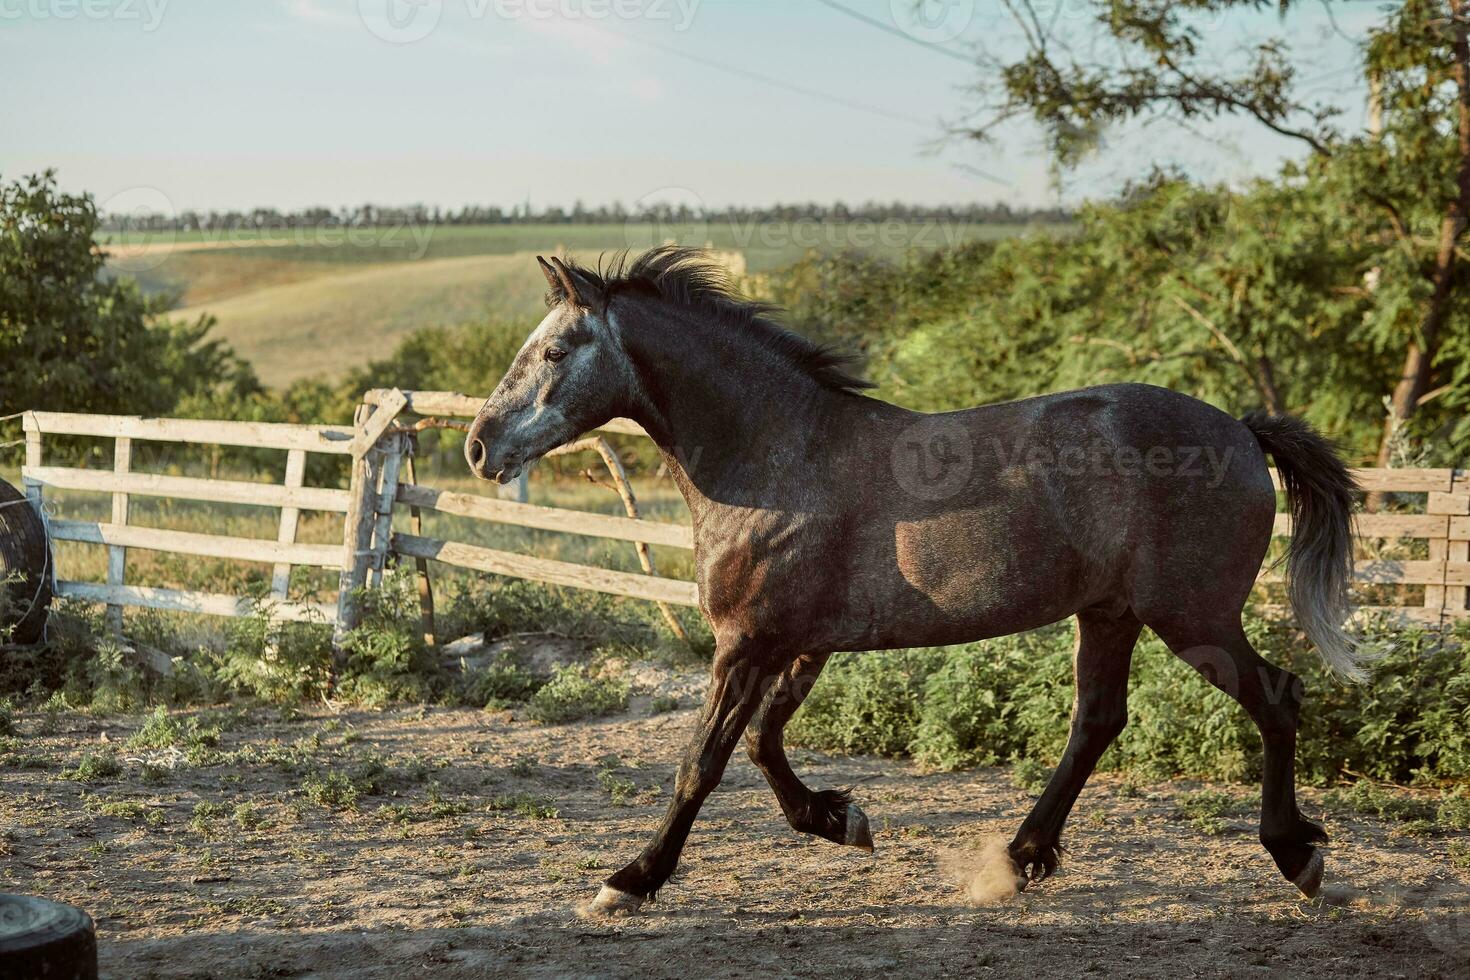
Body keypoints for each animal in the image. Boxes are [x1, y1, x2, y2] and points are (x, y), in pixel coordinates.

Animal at [467, 249, 1364, 916]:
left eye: (553, 351)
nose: (480, 447)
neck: (778, 457)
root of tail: (1241, 431)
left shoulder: (747, 643)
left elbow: (704, 762)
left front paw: (628, 881)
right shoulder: (800, 645)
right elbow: (762, 743)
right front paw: (841, 818)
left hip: (1193, 618)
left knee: (1276, 697)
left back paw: (1297, 857)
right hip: (1110, 614)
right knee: (1098, 722)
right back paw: (1018, 859)